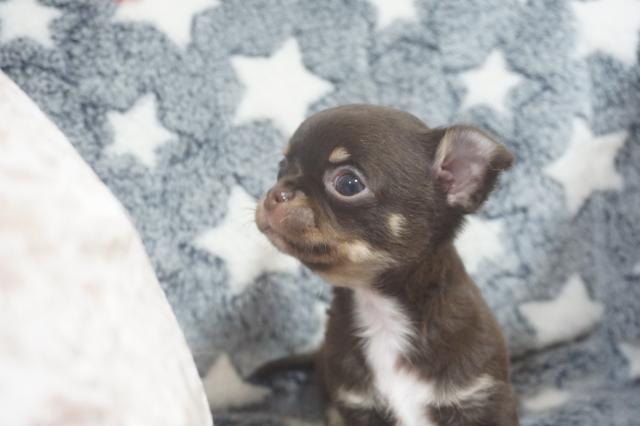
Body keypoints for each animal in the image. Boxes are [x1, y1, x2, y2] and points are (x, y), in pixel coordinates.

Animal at [255, 104, 519, 426]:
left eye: (348, 184)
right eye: (281, 167)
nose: (275, 193)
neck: (380, 310)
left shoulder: (483, 399)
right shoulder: (358, 407)